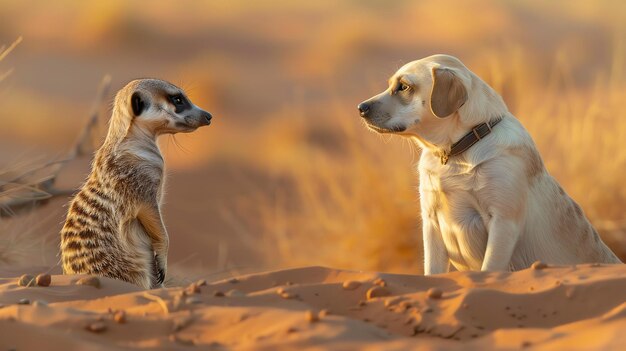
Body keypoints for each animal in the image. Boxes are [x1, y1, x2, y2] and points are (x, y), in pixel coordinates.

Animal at [356, 54, 620, 276]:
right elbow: (433, 271)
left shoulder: (503, 221)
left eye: (403, 86)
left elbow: (489, 269)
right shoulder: (430, 221)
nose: (361, 108)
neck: (456, 152)